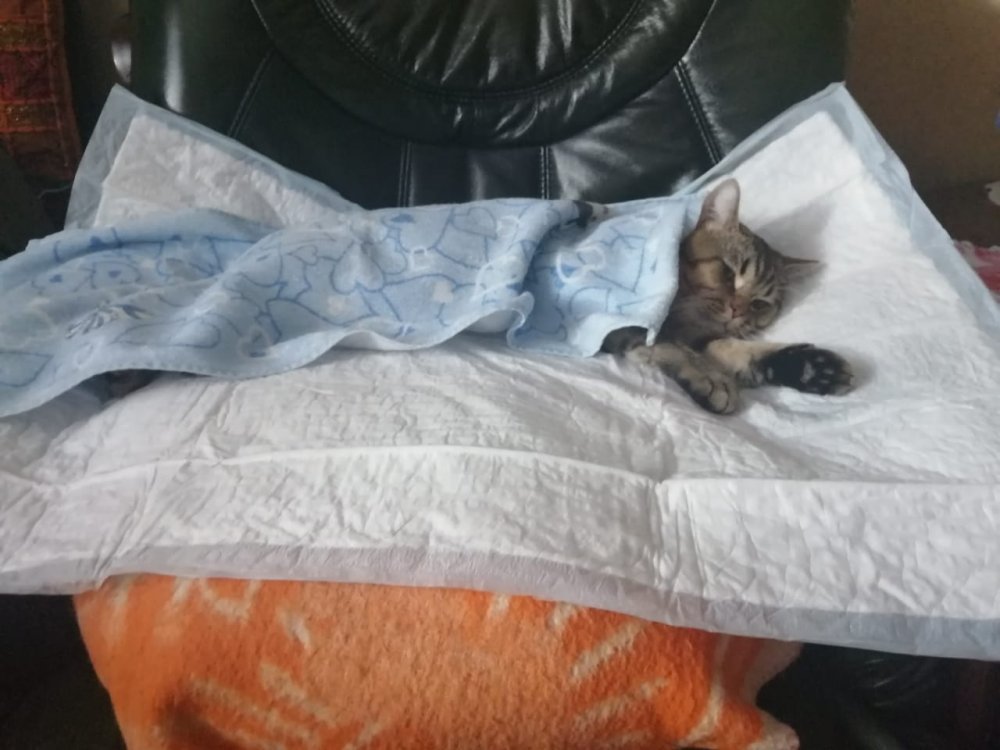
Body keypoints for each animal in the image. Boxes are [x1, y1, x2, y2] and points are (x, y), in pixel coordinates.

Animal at [602, 178, 854, 414]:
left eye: (758, 304)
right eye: (729, 273)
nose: (736, 312)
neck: (681, 318)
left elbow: (733, 348)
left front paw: (808, 368)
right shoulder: (630, 323)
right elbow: (674, 348)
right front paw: (709, 378)